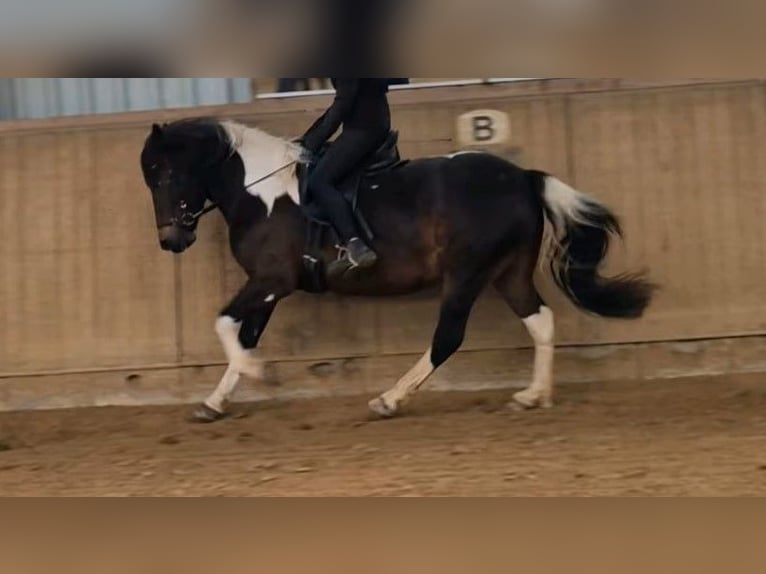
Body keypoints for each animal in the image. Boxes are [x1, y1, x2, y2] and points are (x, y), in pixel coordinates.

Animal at [139, 116, 656, 423]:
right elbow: (242, 334)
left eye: (165, 175)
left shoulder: (271, 280)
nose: (171, 241)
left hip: (467, 272)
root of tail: (521, 178)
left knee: (448, 337)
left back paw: (389, 399)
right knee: (541, 320)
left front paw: (260, 374)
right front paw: (215, 402)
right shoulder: (269, 287)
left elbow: (224, 323)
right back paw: (534, 396)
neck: (261, 193)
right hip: (507, 271)